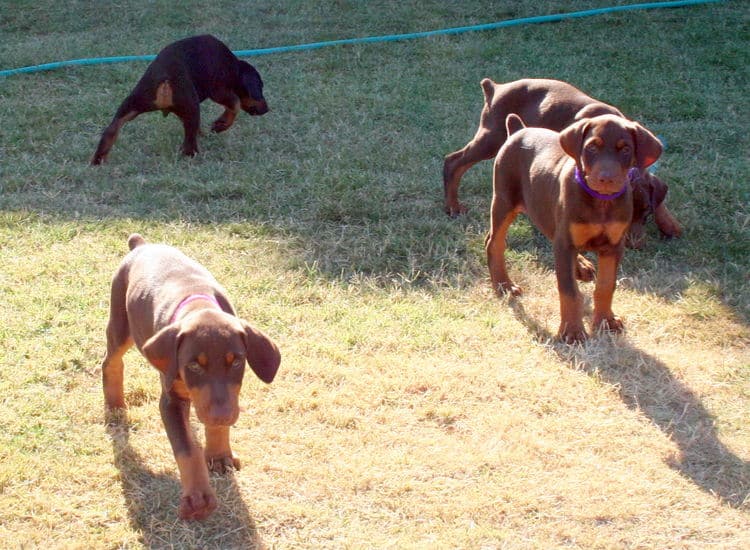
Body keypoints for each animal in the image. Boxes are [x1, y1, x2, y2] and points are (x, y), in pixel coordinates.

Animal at [91, 33, 268, 164]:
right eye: (260, 86)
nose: (267, 109)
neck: (234, 66)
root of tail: (165, 78)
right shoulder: (218, 90)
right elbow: (235, 104)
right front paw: (220, 124)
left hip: (132, 103)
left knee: (111, 130)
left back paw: (98, 160)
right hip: (192, 105)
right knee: (189, 145)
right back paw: (194, 155)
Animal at [103, 234, 282, 520]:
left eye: (237, 362)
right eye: (194, 366)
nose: (223, 416)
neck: (198, 304)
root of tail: (142, 245)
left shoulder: (225, 397)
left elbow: (215, 419)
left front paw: (219, 454)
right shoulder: (171, 401)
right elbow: (186, 449)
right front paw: (198, 497)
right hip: (120, 320)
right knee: (111, 362)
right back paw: (115, 405)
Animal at [484, 114, 660, 342]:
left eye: (626, 149)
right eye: (592, 147)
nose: (606, 179)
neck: (601, 202)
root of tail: (519, 129)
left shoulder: (613, 246)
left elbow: (606, 286)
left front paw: (606, 321)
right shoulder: (566, 243)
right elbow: (569, 291)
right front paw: (572, 332)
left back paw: (581, 266)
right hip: (505, 200)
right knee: (494, 242)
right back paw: (504, 285)